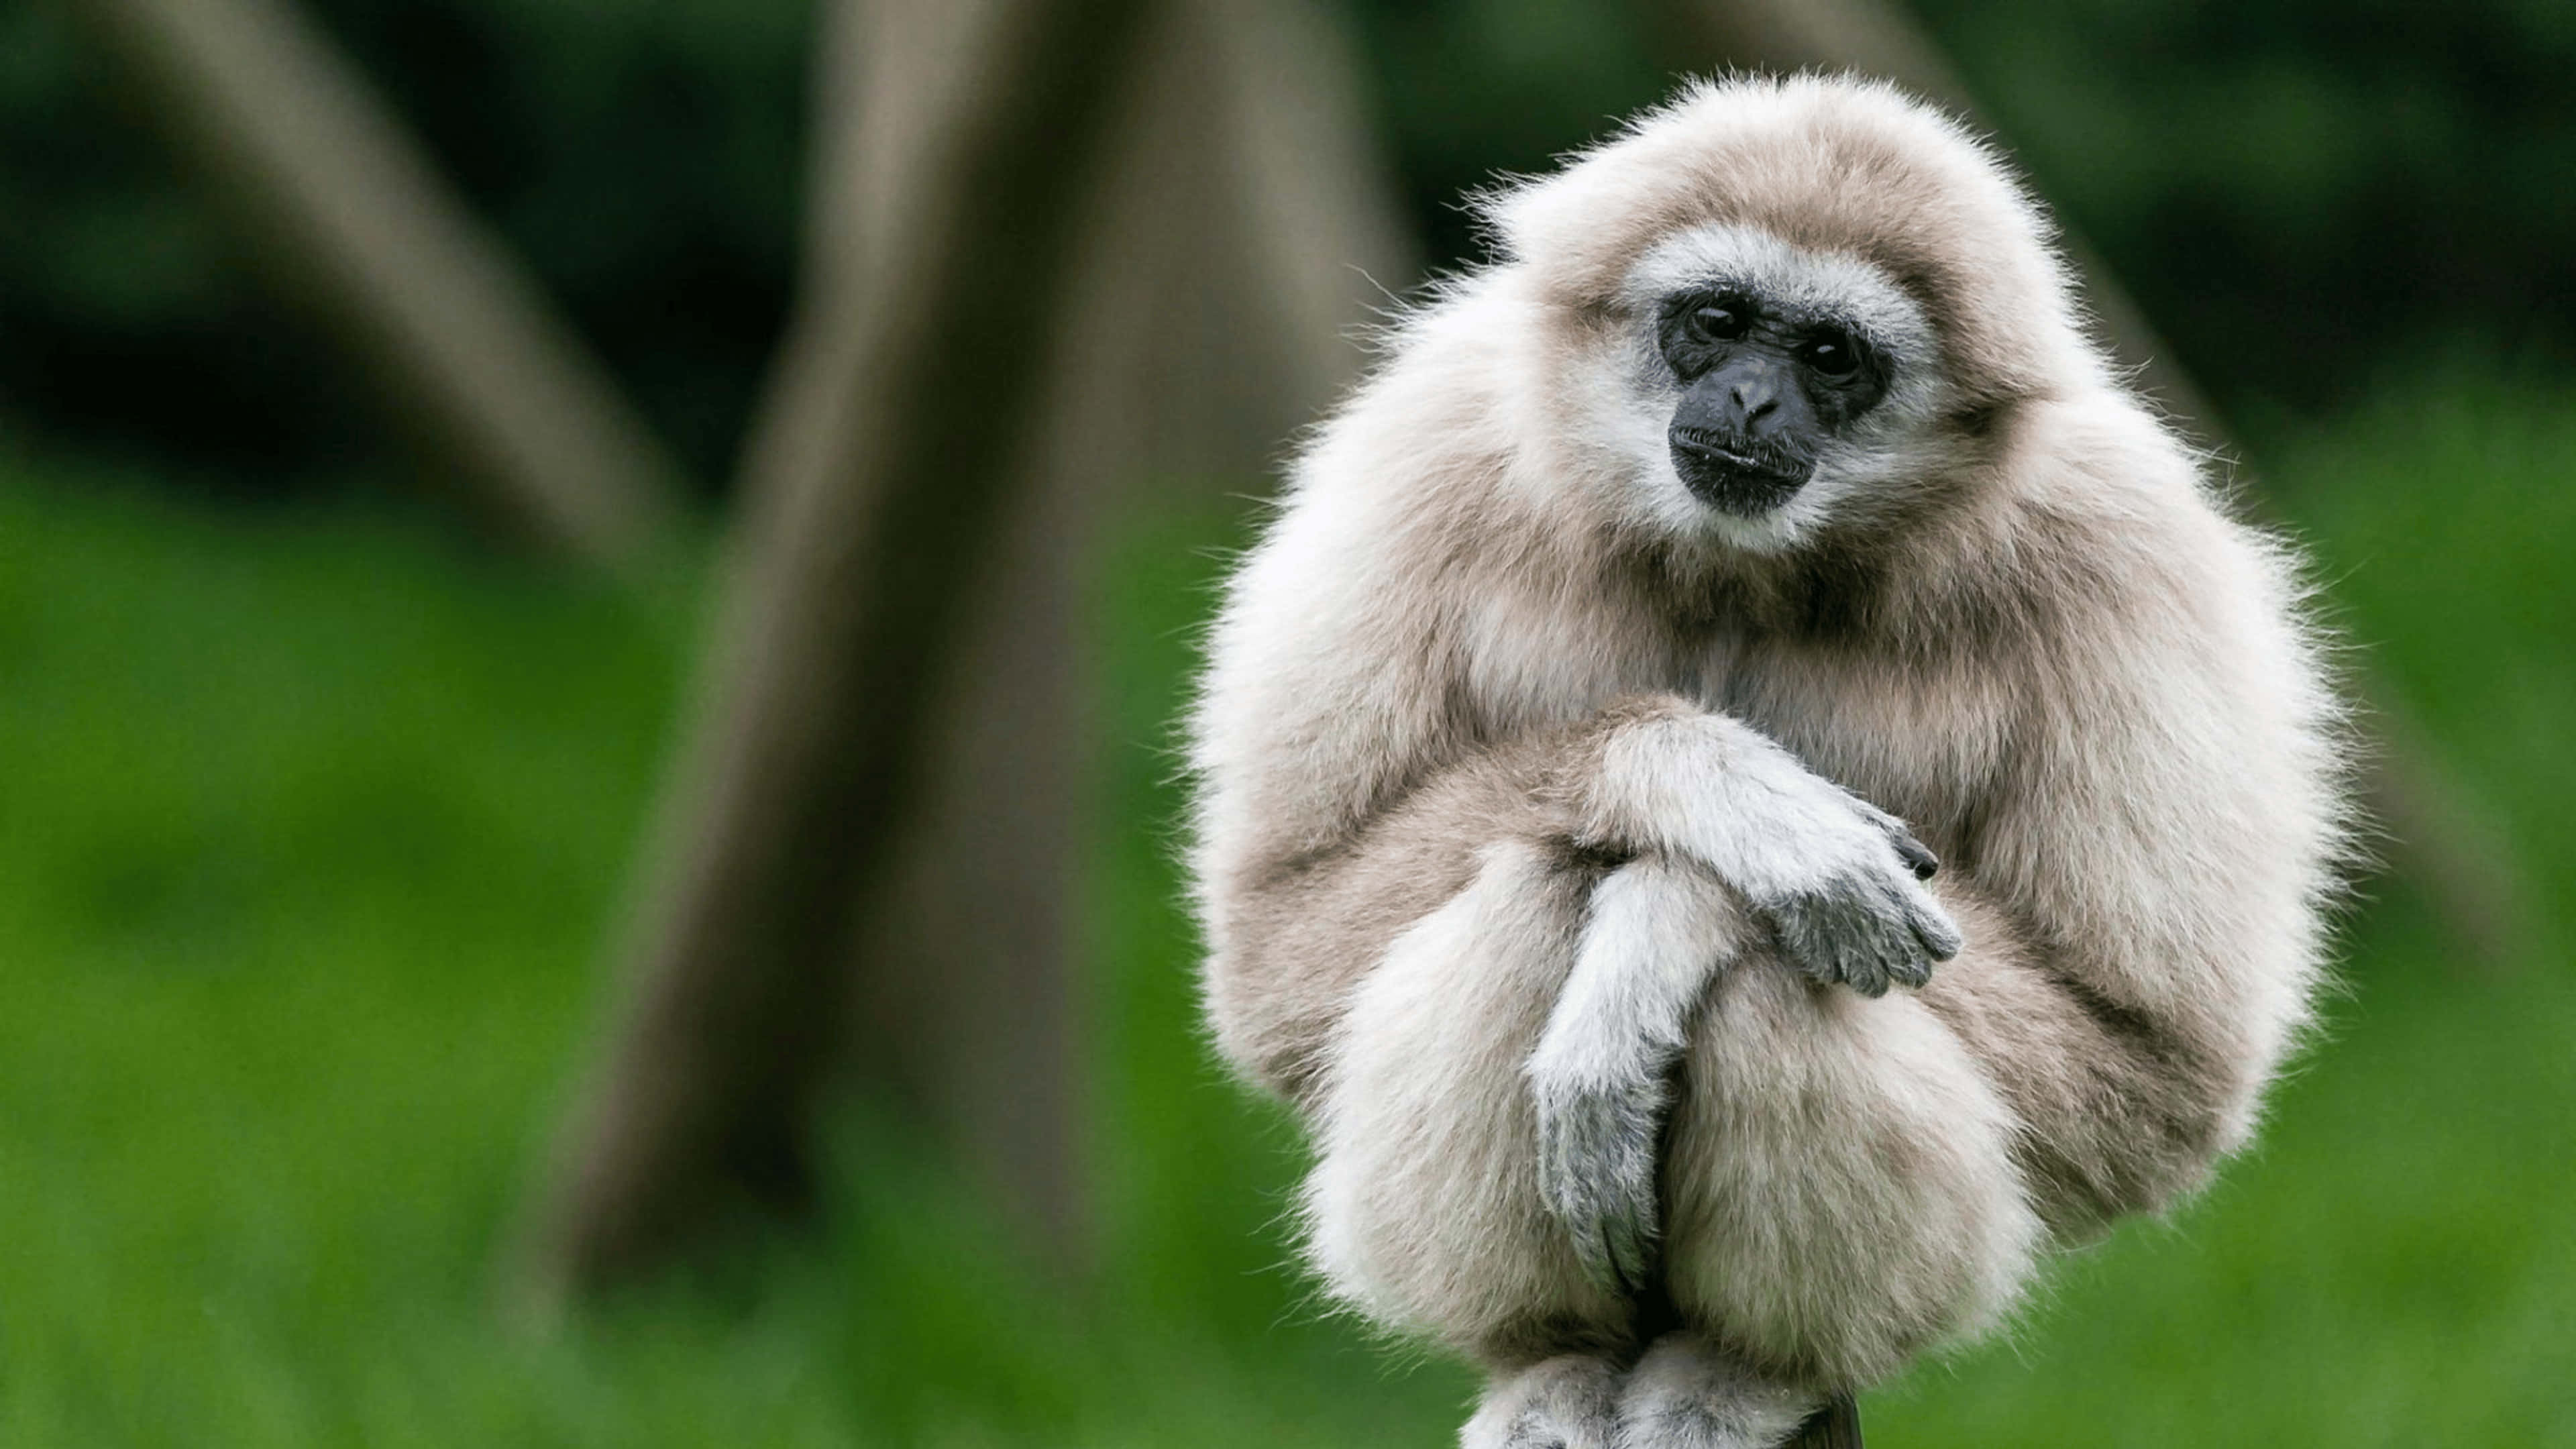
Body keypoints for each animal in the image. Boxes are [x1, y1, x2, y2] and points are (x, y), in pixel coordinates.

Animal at [1184, 74, 2349, 1449]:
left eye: (1832, 357)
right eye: (1718, 322)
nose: (1750, 399)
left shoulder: (2125, 550)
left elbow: (2154, 1060)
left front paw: (1674, 916)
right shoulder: (1424, 446)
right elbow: (1280, 947)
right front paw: (1722, 793)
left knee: (1776, 966)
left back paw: (1745, 1363)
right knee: (1540, 882)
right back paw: (1550, 1359)